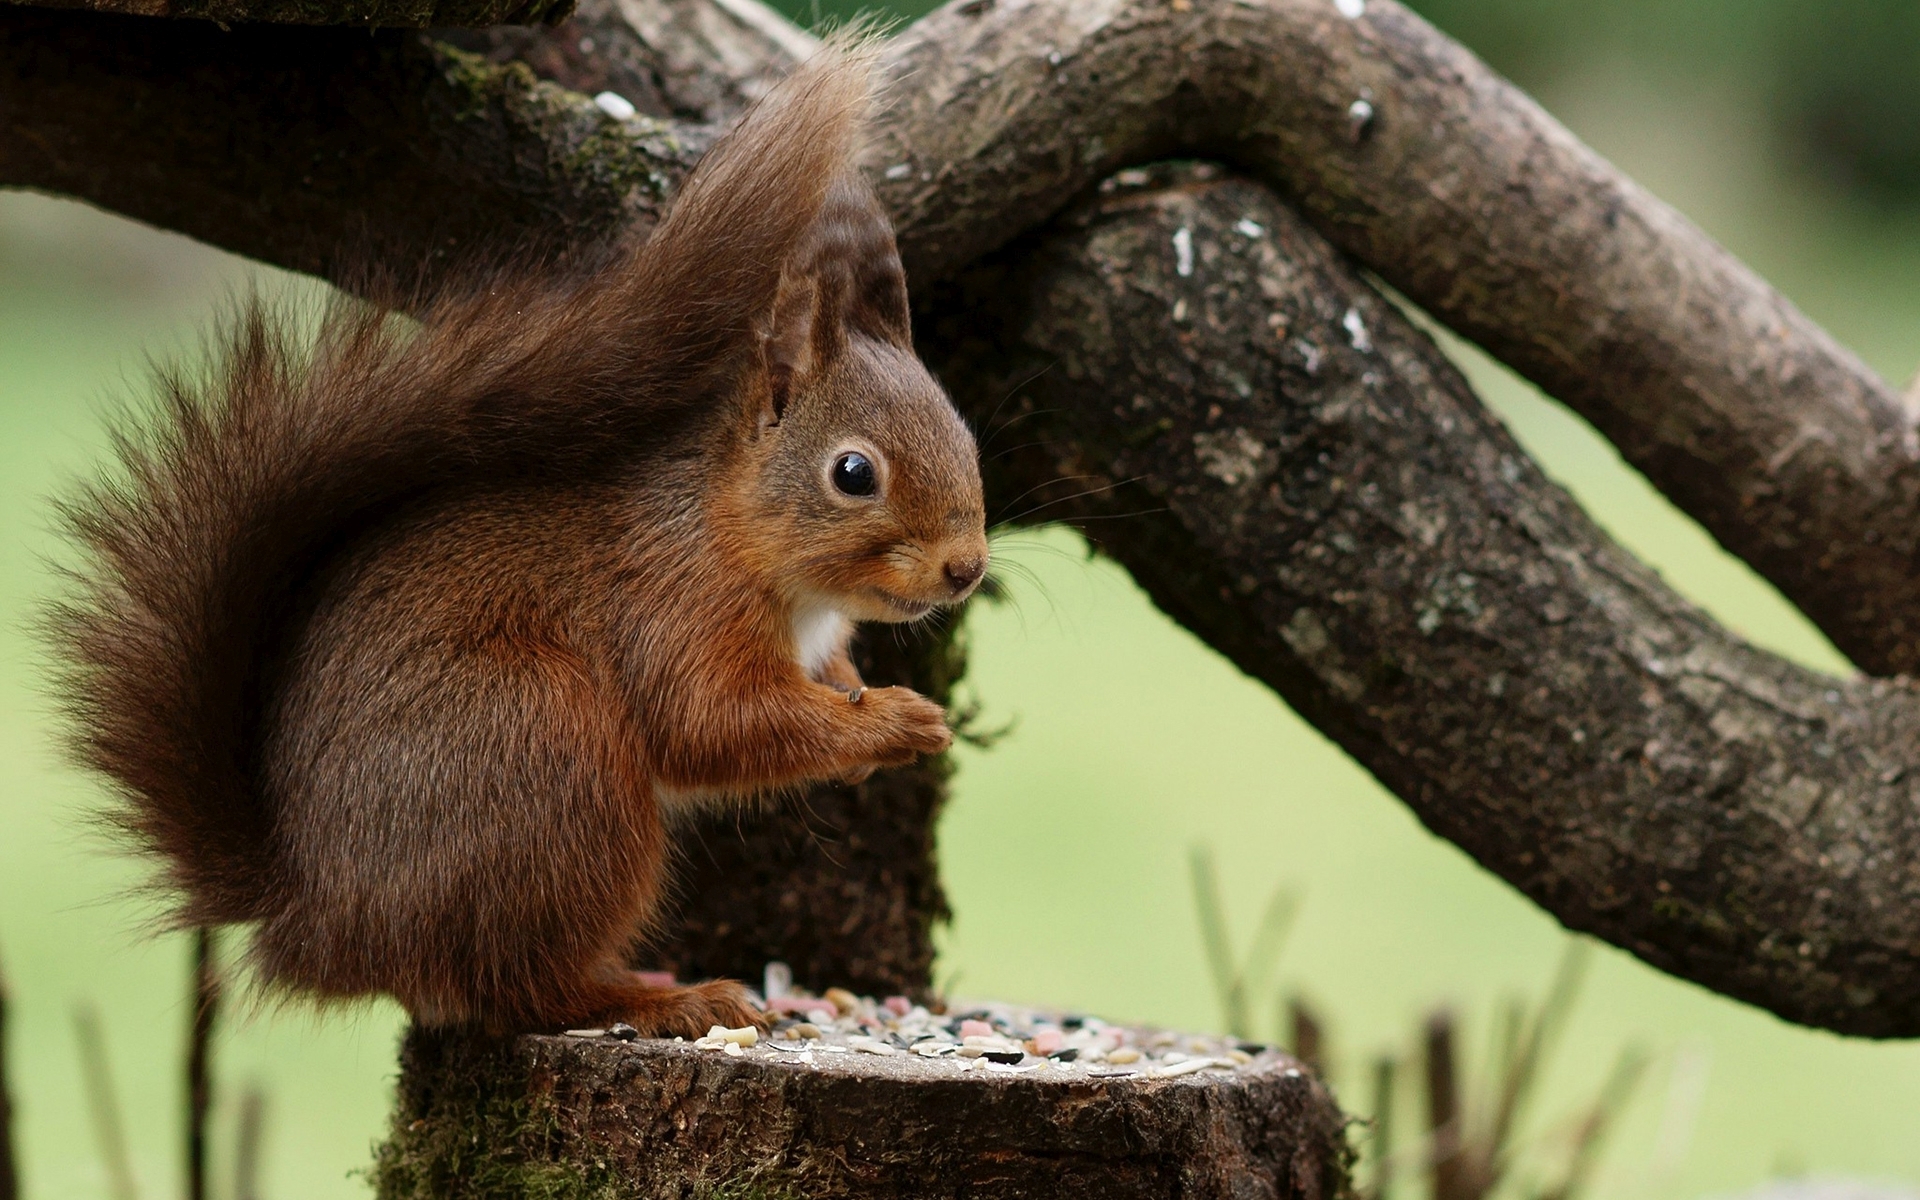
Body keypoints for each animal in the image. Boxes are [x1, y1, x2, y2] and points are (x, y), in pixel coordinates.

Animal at [56, 37, 990, 1029]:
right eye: (853, 474)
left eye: (965, 437)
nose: (967, 568)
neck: (733, 529)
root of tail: (321, 919)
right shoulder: (672, 601)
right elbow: (712, 722)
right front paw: (891, 722)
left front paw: (857, 698)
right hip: (548, 762)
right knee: (521, 984)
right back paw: (667, 998)